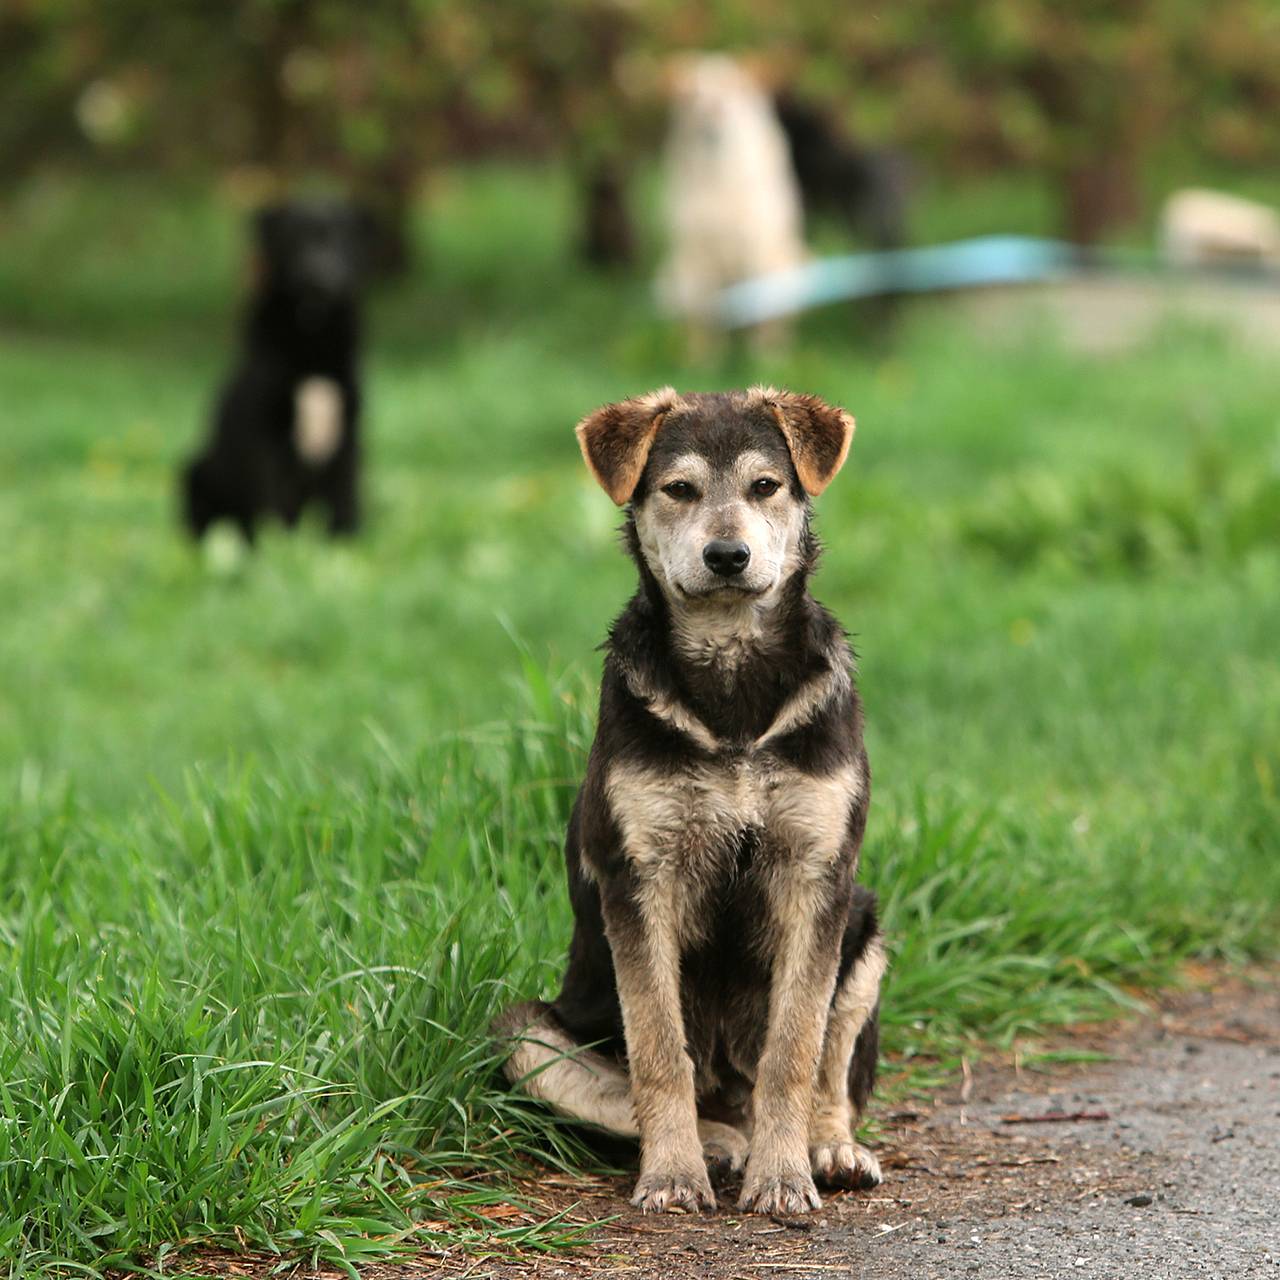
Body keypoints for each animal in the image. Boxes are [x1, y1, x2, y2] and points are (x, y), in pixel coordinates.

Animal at [181, 198, 371, 540]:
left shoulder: (348, 438)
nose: (318, 276)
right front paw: (276, 547)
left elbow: (345, 501)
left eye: (340, 238)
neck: (312, 343)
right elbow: (269, 505)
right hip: (194, 470)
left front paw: (347, 545)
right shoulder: (263, 437)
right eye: (294, 239)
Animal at [494, 386, 885, 1218]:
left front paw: (784, 1177)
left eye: (766, 486)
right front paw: (672, 1174)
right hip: (522, 1034)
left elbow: (795, 1048)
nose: (727, 556)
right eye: (679, 490)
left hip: (867, 930)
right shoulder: (642, 877)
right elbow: (658, 1049)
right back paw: (718, 1143)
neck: (731, 672)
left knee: (831, 1067)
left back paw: (827, 1147)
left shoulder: (817, 874)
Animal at [660, 56, 808, 345]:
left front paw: (765, 353)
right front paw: (702, 356)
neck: (717, 173)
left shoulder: (758, 245)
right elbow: (702, 319)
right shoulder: (695, 251)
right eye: (691, 93)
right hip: (675, 276)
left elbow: (761, 311)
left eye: (735, 87)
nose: (713, 109)